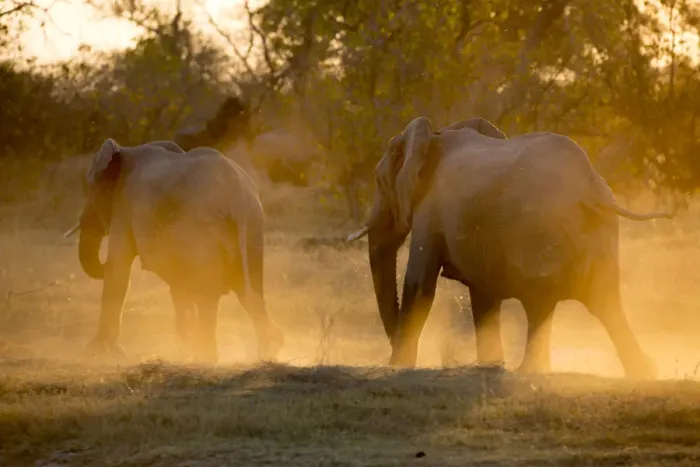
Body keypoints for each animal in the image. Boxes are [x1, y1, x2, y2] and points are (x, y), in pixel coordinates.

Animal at [64, 139, 284, 363]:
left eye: (90, 188)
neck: (125, 151)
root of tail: (238, 199)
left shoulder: (124, 207)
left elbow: (118, 270)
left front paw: (96, 352)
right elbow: (178, 284)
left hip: (203, 232)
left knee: (209, 291)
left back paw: (205, 357)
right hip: (252, 231)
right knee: (246, 289)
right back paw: (266, 350)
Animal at [347, 116, 673, 379]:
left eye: (378, 181)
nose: (393, 351)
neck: (434, 136)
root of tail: (590, 187)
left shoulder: (430, 209)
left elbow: (419, 284)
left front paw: (397, 366)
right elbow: (484, 297)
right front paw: (490, 366)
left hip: (542, 229)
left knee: (541, 302)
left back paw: (529, 371)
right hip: (598, 232)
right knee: (605, 301)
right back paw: (645, 371)